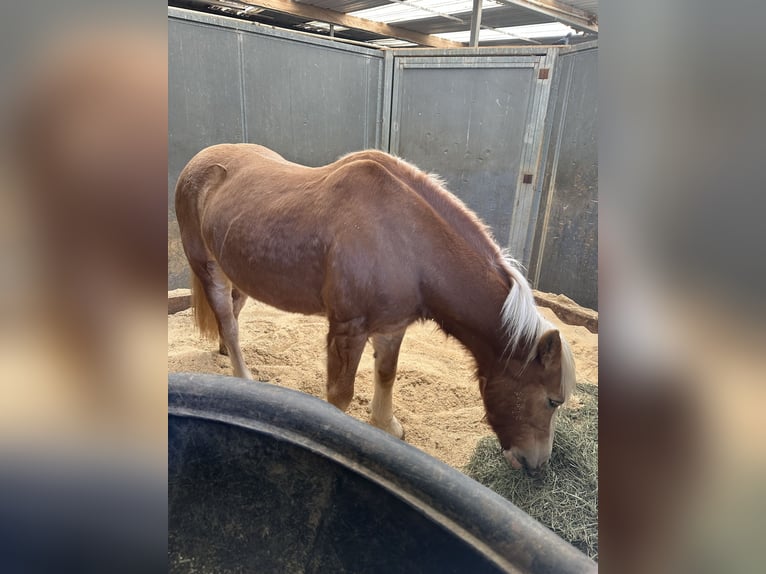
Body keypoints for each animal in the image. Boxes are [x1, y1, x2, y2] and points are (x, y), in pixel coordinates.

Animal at [176, 145, 576, 476]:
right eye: (552, 400)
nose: (536, 464)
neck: (408, 242)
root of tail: (197, 162)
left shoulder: (392, 327)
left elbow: (387, 374)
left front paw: (386, 426)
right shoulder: (348, 330)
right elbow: (340, 395)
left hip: (239, 274)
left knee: (232, 315)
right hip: (208, 268)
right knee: (228, 322)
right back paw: (243, 377)